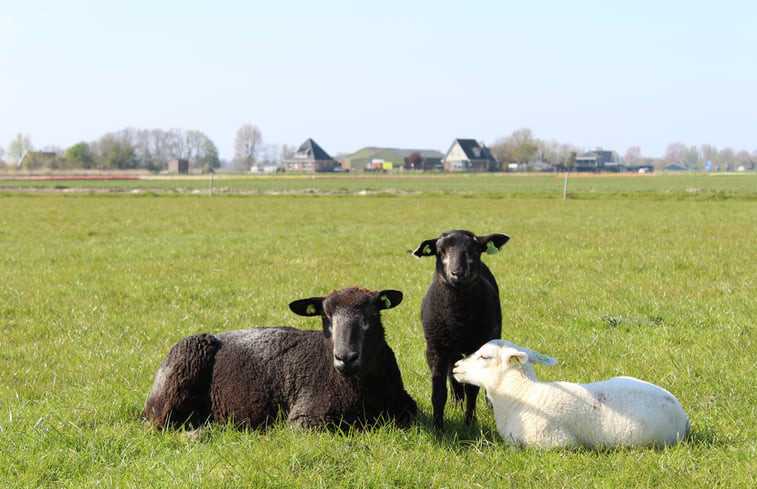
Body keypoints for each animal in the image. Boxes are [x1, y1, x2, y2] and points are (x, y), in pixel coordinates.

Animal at [410, 231, 510, 428]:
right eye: (440, 251)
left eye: (475, 250)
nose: (457, 273)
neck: (458, 318)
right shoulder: (435, 347)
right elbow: (439, 391)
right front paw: (438, 426)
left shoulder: (476, 346)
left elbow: (472, 388)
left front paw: (469, 423)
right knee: (452, 371)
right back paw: (457, 403)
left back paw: (488, 404)